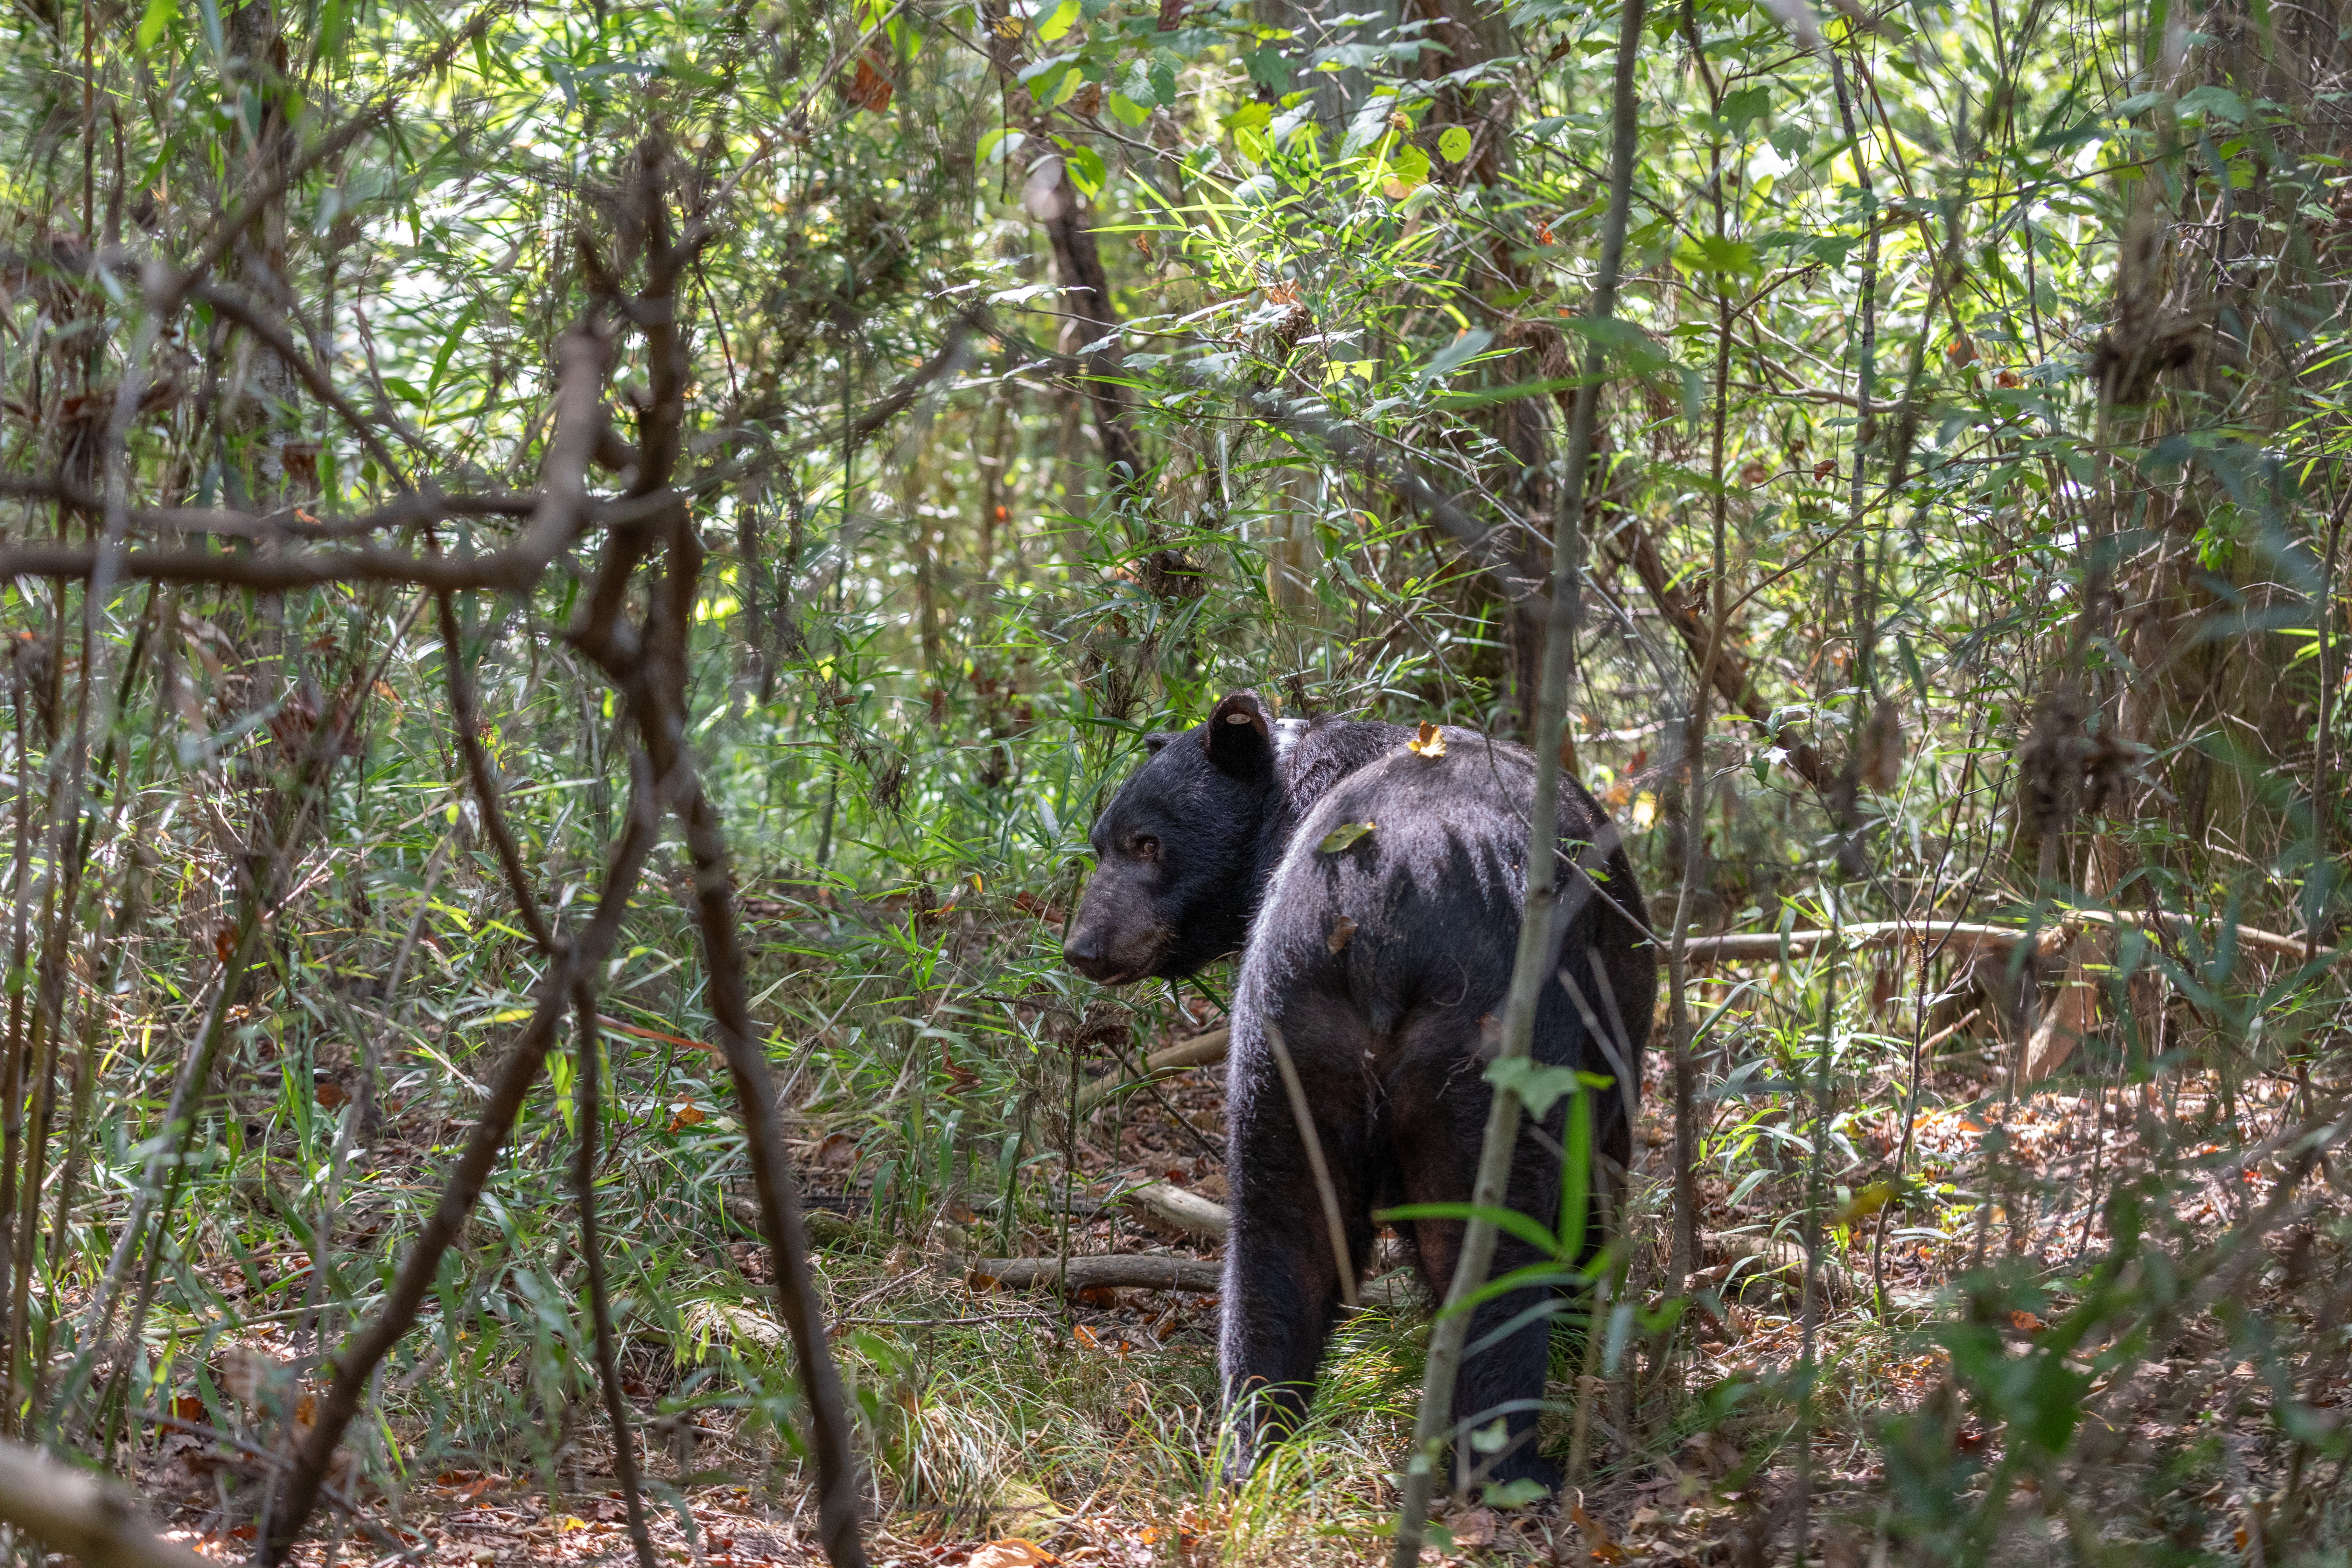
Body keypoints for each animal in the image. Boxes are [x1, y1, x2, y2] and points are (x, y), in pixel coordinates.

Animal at [1068, 696, 1656, 1495]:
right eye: (1105, 843)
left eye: (1146, 842)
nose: (1084, 946)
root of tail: (1380, 902)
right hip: (1490, 1035)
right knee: (1498, 1234)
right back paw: (1511, 1464)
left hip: (1288, 1020)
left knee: (1282, 1234)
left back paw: (1256, 1442)